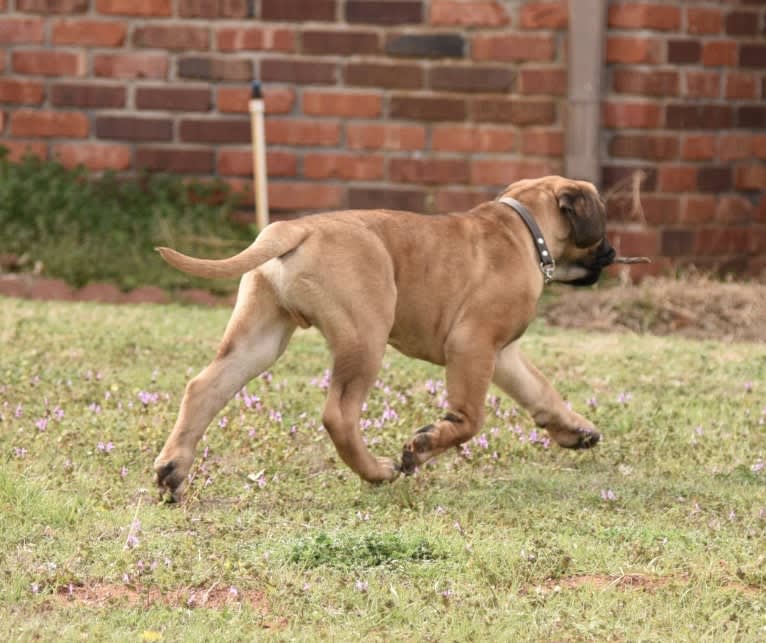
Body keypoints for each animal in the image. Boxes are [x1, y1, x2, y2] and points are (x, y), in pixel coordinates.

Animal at [154, 177, 616, 504]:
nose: (612, 253)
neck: (524, 230)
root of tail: (293, 228)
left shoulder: (501, 354)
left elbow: (540, 389)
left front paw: (575, 429)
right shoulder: (472, 345)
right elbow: (469, 420)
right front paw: (422, 447)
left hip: (259, 339)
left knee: (204, 388)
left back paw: (172, 471)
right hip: (365, 337)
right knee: (338, 415)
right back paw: (377, 471)